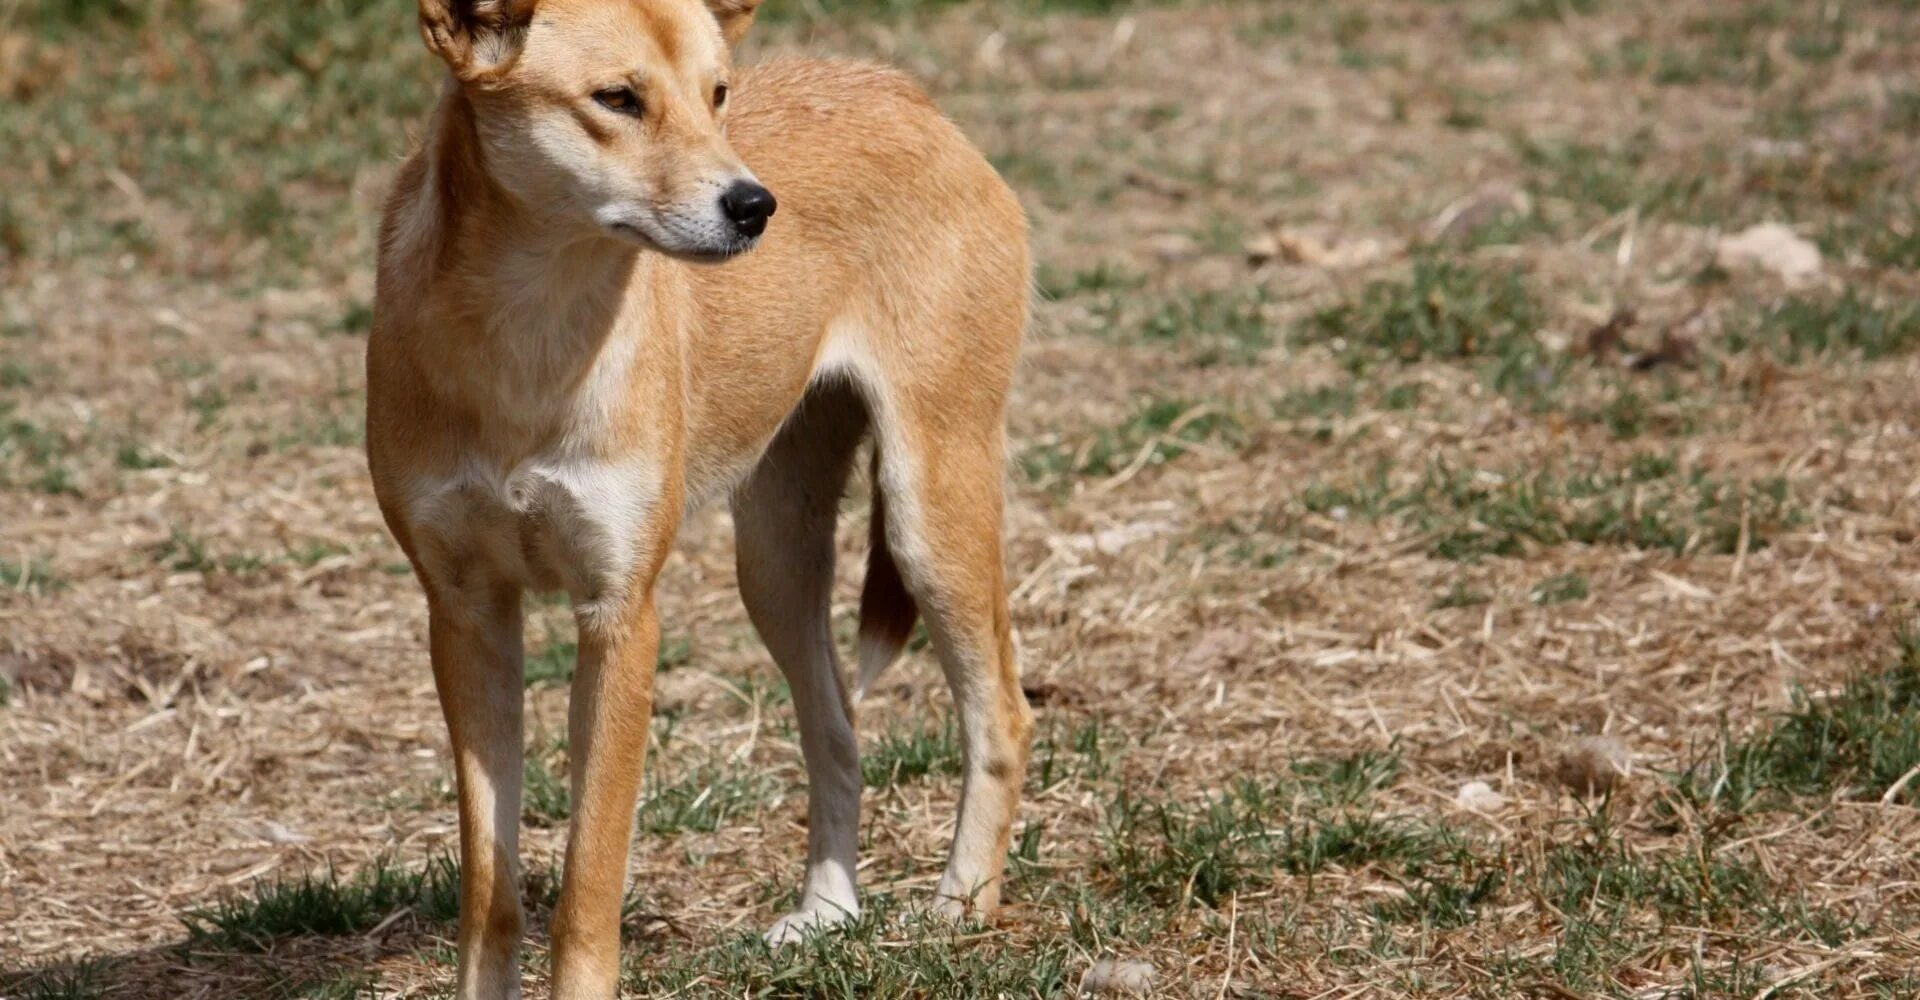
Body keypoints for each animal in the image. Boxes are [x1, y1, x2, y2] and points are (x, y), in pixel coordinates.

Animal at [364, 0, 1036, 990]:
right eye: (617, 99)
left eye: (718, 94)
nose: (754, 206)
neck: (530, 340)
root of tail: (905, 92)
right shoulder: (466, 615)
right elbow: (491, 893)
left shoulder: (621, 615)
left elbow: (587, 891)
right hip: (774, 565)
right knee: (837, 731)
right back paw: (826, 914)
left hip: (930, 520)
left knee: (1003, 718)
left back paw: (960, 908)